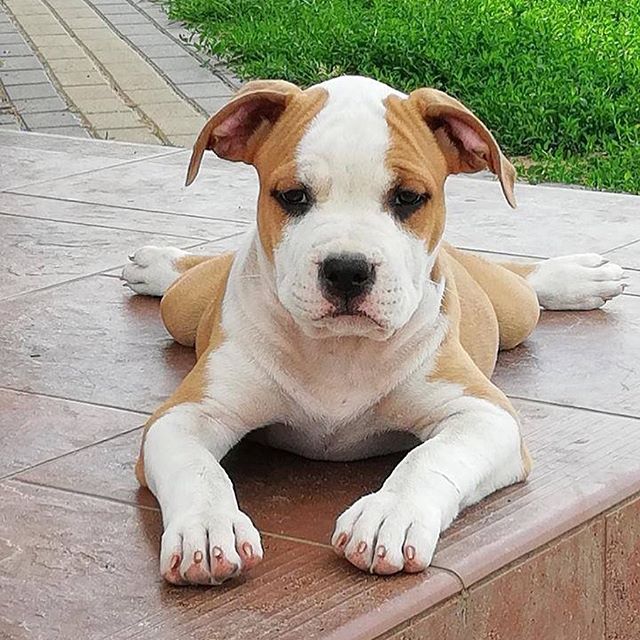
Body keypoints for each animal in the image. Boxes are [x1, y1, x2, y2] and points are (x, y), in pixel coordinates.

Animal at [121, 75, 624, 584]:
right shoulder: (188, 415)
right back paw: (160, 263)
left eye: (408, 198)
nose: (347, 269)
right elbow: (198, 469)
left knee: (522, 282)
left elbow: (429, 458)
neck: (340, 348)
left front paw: (391, 514)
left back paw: (578, 276)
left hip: (515, 310)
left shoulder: (483, 415)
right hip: (182, 309)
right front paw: (207, 526)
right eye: (293, 196)